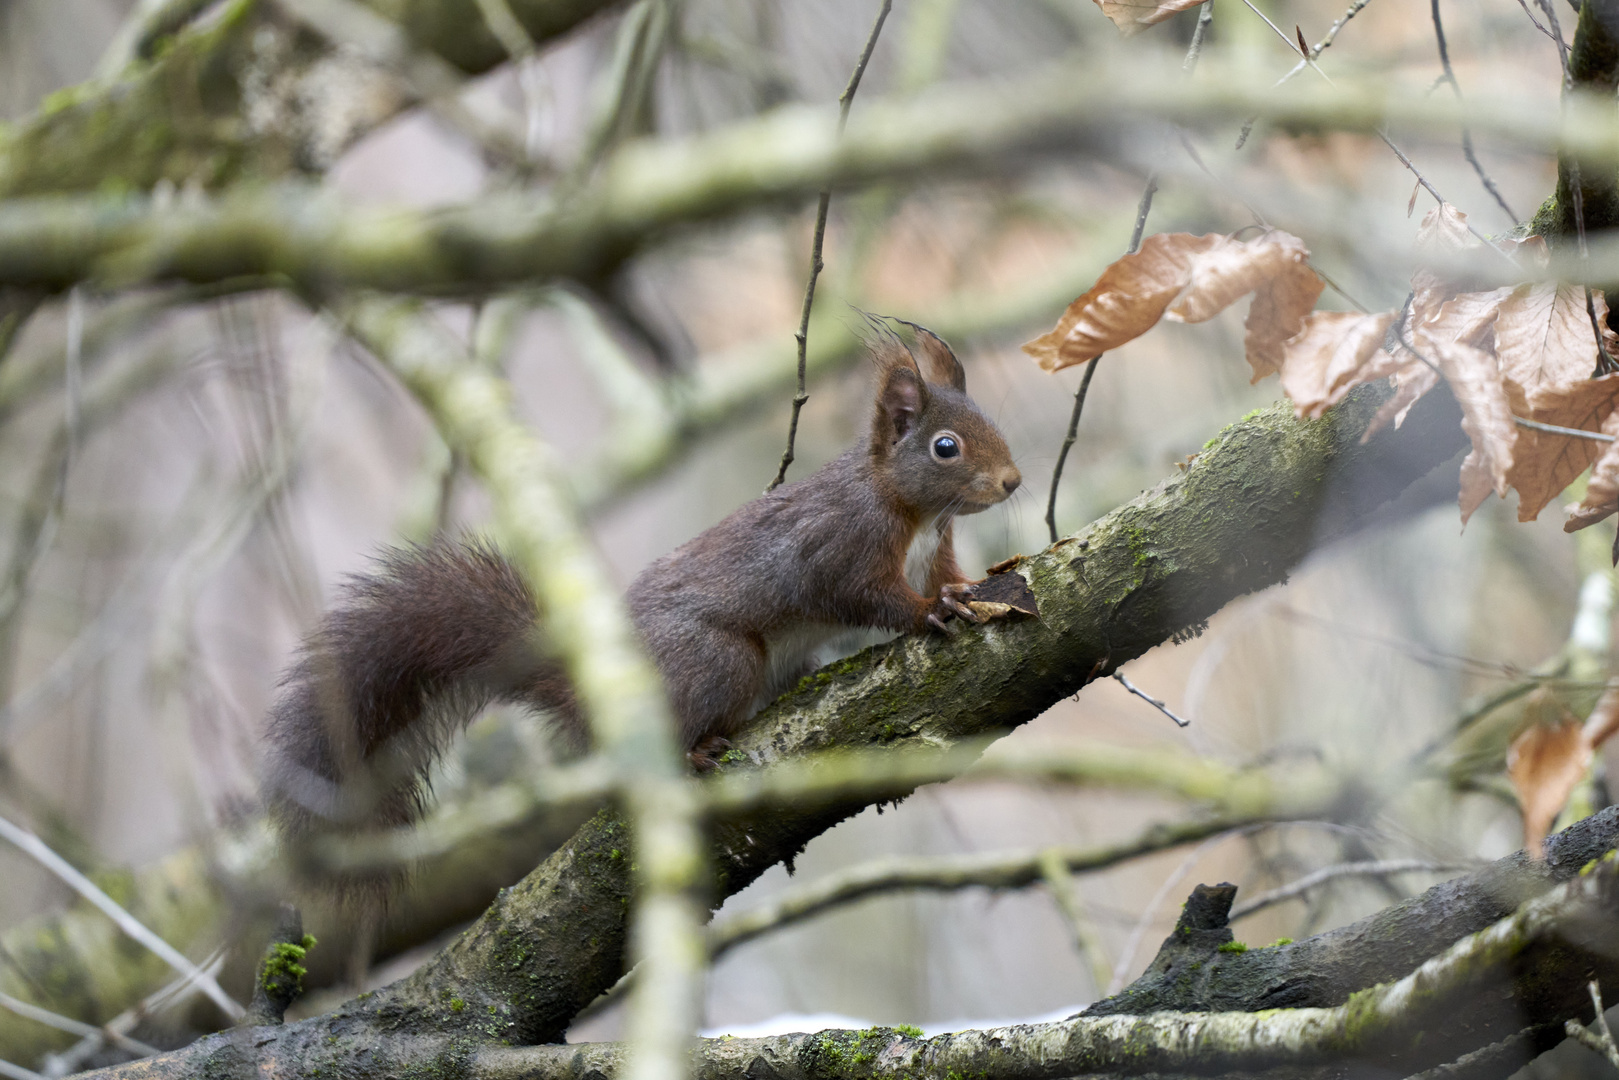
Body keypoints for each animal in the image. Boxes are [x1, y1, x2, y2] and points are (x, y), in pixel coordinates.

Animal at [262, 325, 1023, 848]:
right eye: (945, 447)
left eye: (993, 422)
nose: (1013, 481)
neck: (915, 513)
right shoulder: (837, 544)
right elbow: (863, 596)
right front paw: (929, 612)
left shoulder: (933, 549)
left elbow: (946, 575)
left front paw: (964, 590)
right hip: (717, 661)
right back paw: (696, 750)